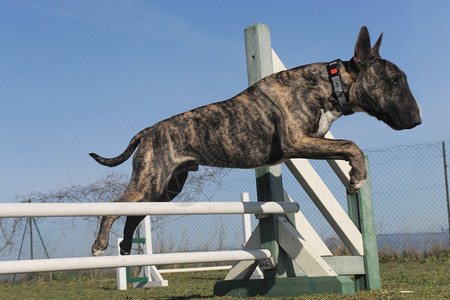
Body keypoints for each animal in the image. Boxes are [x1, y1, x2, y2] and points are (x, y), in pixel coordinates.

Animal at [90, 26, 422, 255]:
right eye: (394, 80)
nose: (418, 120)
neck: (331, 83)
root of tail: (148, 130)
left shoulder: (314, 141)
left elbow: (345, 147)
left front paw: (355, 177)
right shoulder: (297, 142)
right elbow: (352, 145)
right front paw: (357, 177)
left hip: (164, 188)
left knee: (132, 214)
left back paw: (125, 247)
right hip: (149, 181)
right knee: (113, 206)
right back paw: (100, 244)